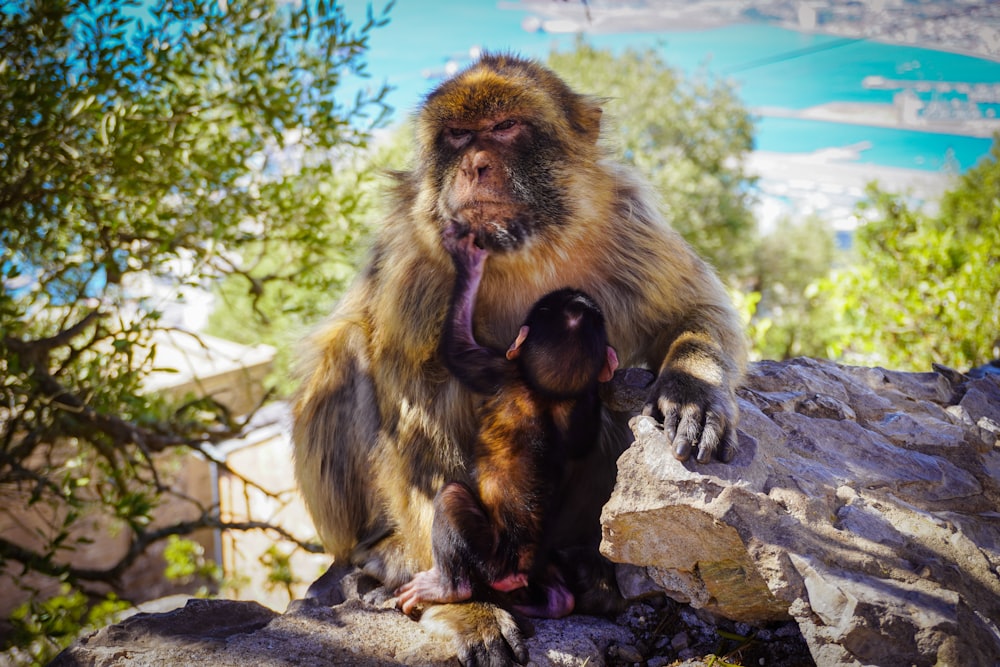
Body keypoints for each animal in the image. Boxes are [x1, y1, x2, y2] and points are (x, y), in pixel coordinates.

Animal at [396, 226, 616, 620]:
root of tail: (516, 569)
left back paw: (447, 587)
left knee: (451, 498)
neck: (545, 393)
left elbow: (455, 349)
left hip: (490, 557)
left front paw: (468, 263)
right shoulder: (568, 409)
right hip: (538, 567)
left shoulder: (497, 371)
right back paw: (555, 600)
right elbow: (581, 440)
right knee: (560, 593)